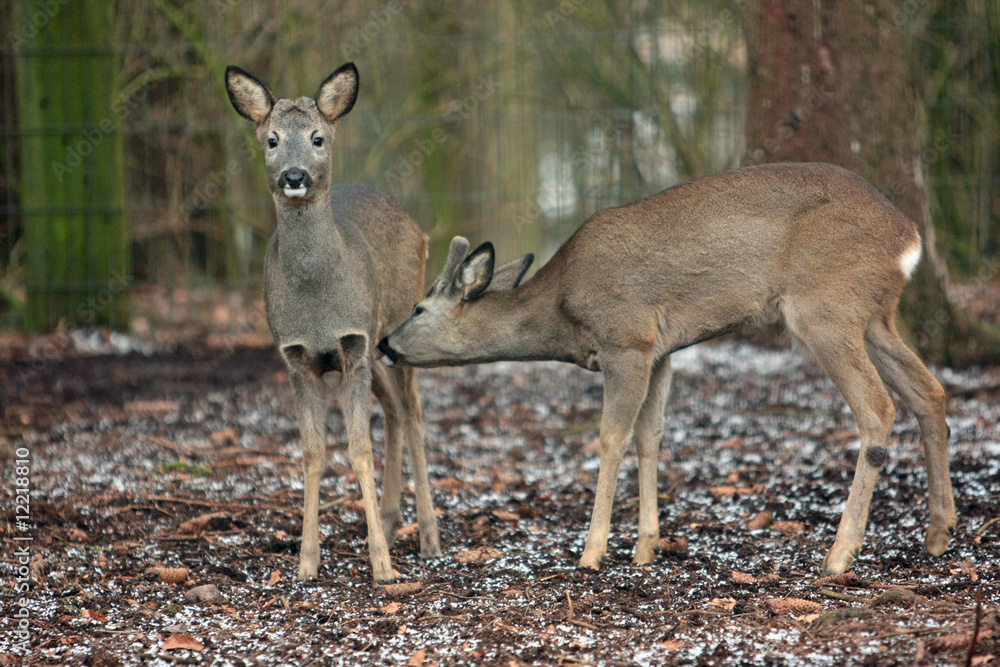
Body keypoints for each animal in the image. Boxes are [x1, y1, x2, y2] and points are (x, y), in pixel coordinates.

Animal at [225, 63, 441, 581]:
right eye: (272, 139)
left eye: (318, 138)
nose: (294, 175)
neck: (317, 300)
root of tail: (418, 227)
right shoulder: (297, 357)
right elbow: (313, 452)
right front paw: (307, 561)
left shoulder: (352, 345)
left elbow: (359, 449)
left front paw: (382, 567)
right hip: (378, 347)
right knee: (395, 412)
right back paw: (390, 521)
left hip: (400, 321)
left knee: (413, 411)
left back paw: (428, 538)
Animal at [377, 162, 957, 575]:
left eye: (418, 309)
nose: (384, 343)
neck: (564, 311)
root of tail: (909, 238)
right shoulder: (662, 352)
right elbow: (649, 437)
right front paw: (646, 548)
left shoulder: (627, 339)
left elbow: (611, 436)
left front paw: (591, 553)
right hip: (875, 314)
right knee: (930, 392)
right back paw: (937, 534)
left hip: (826, 308)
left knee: (879, 408)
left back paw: (840, 555)